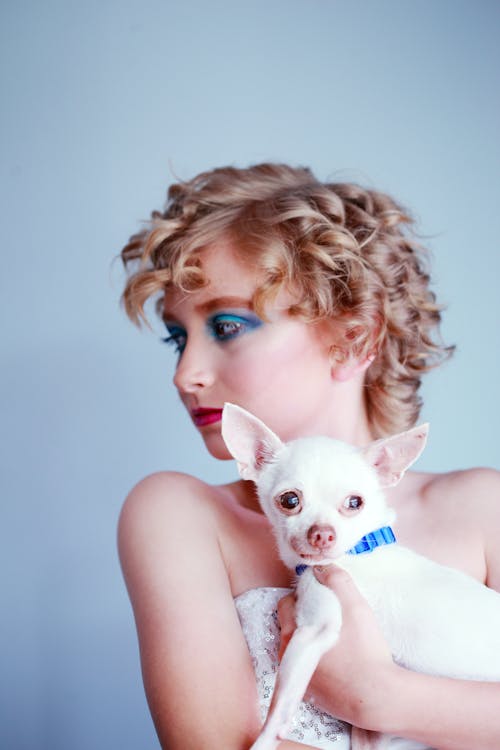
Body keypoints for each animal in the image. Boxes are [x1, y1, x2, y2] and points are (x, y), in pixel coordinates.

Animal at [223, 406, 500, 750]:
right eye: (290, 500)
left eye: (354, 503)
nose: (322, 533)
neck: (359, 549)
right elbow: (367, 735)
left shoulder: (315, 630)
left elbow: (281, 702)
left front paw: (263, 739)